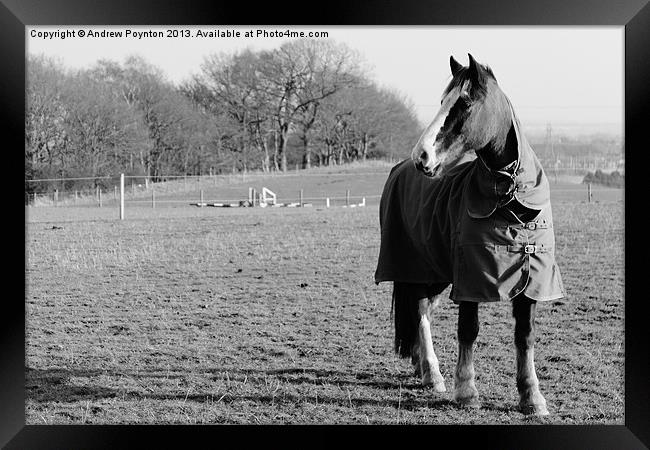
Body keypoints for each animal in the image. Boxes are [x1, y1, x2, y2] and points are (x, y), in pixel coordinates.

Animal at [372, 54, 564, 416]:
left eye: (463, 103)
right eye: (442, 102)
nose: (422, 156)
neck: (511, 205)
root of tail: (400, 169)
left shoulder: (531, 280)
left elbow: (525, 335)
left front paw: (532, 397)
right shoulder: (470, 277)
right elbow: (468, 330)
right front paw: (467, 391)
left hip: (436, 272)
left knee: (422, 310)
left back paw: (421, 367)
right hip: (415, 268)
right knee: (420, 311)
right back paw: (433, 374)